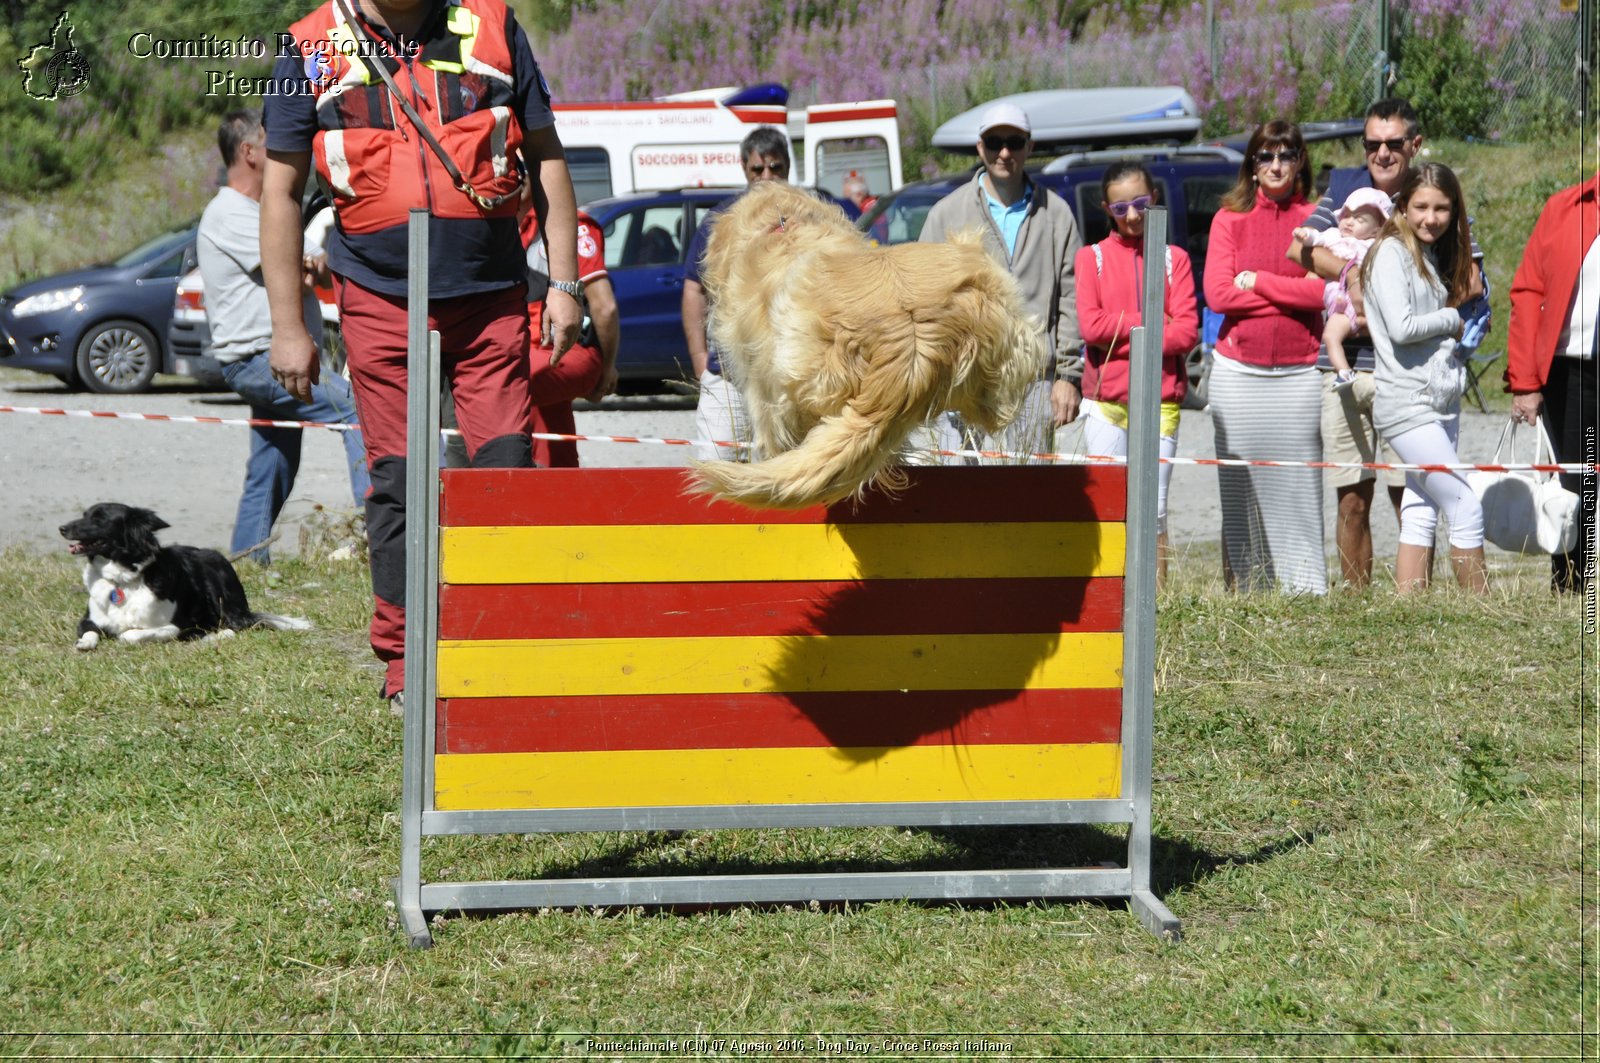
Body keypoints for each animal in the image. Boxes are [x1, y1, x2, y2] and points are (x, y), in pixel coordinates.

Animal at [59, 502, 310, 653]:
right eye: (84, 515)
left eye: (100, 519)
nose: (62, 528)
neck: (123, 578)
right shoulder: (89, 620)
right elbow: (90, 631)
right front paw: (84, 642)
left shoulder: (177, 626)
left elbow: (129, 635)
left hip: (216, 570)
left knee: (233, 626)